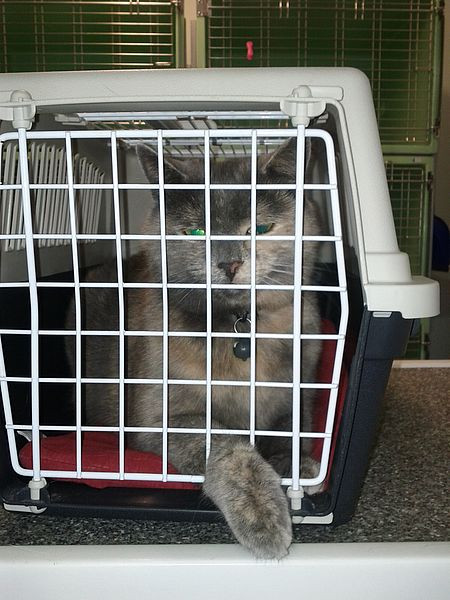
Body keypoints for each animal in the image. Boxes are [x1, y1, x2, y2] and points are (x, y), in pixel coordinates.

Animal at [67, 137, 323, 559]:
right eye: (196, 231)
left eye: (261, 227)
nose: (229, 263)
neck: (238, 322)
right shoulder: (161, 420)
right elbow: (227, 443)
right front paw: (264, 517)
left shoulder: (300, 385)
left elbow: (293, 426)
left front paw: (299, 465)